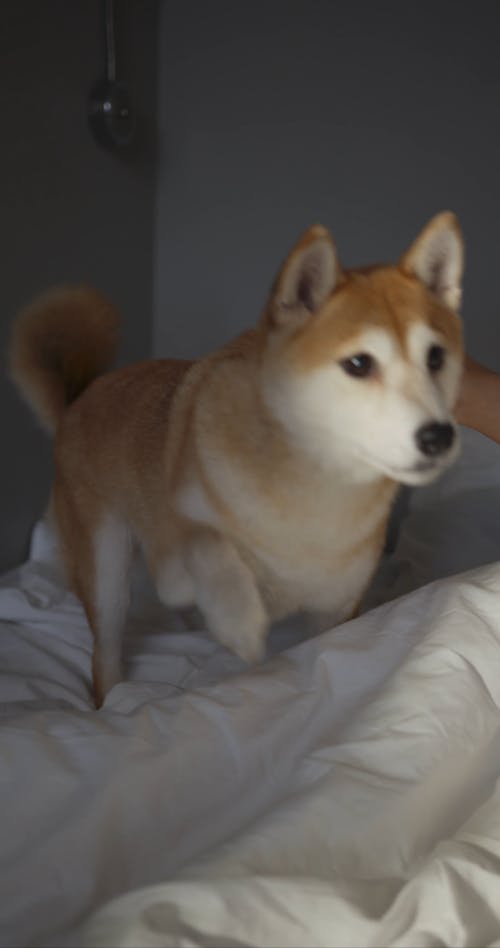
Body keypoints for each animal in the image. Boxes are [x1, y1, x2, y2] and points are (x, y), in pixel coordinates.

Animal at [9, 213, 462, 704]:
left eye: (436, 357)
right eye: (359, 364)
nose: (439, 436)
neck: (311, 499)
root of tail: (78, 399)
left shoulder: (337, 610)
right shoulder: (176, 546)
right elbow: (206, 547)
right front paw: (237, 620)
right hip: (106, 567)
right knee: (104, 655)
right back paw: (113, 697)